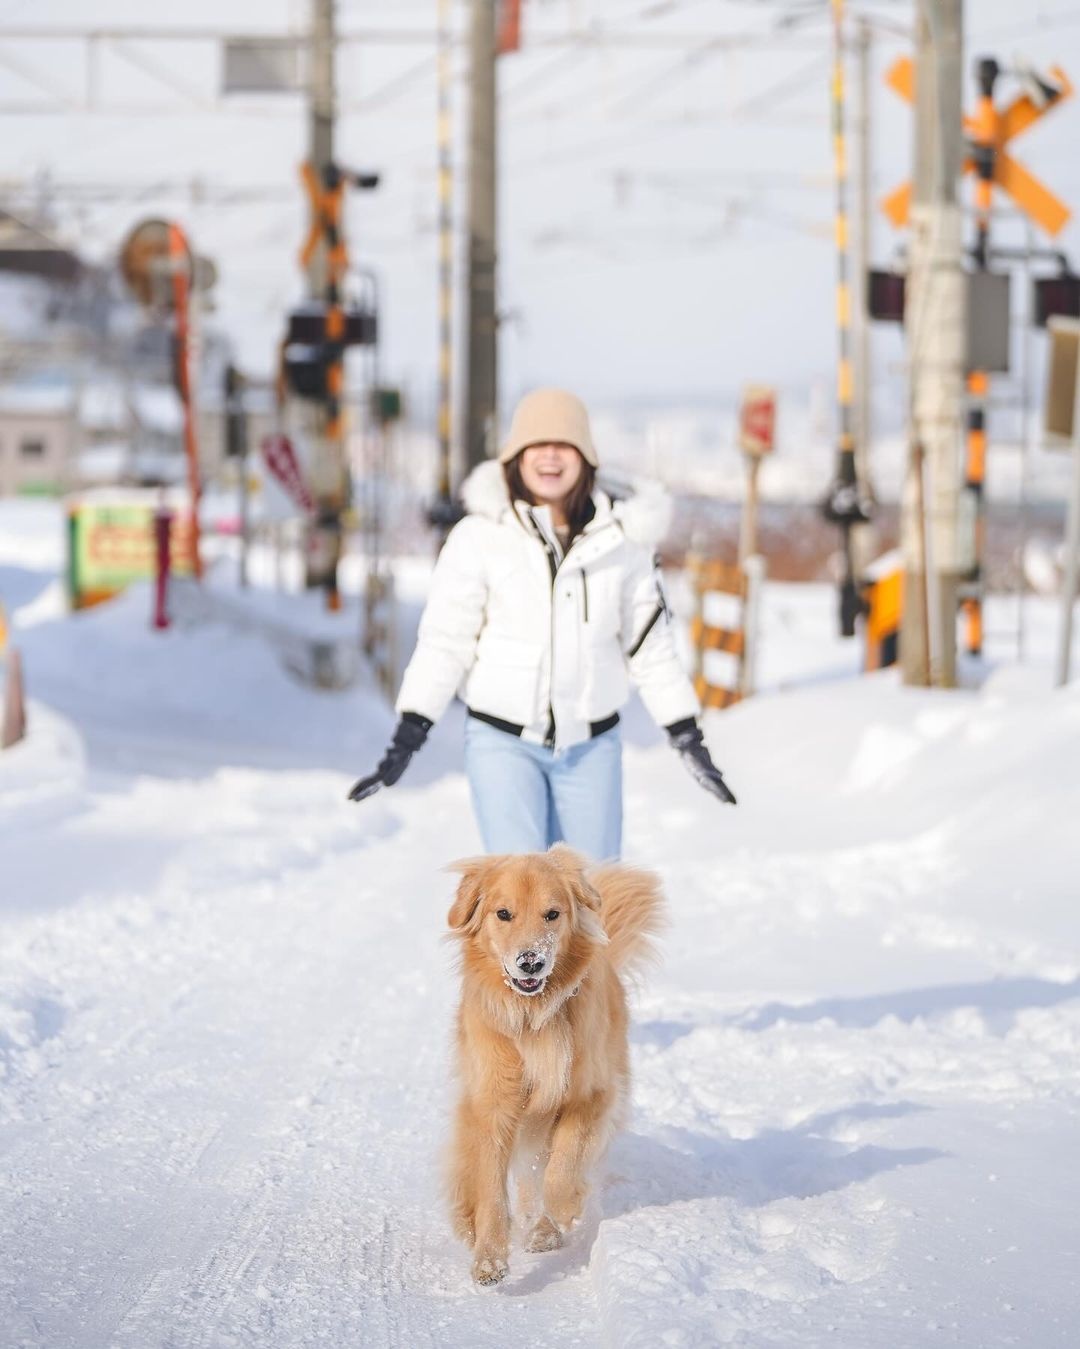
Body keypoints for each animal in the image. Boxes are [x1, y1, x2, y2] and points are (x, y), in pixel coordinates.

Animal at [442, 841, 660, 1284]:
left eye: (552, 914)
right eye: (503, 913)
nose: (530, 961)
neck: (533, 1017)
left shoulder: (589, 1095)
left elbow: (563, 1166)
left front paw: (562, 1211)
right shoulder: (493, 1103)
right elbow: (490, 1186)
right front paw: (488, 1257)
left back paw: (544, 1227)